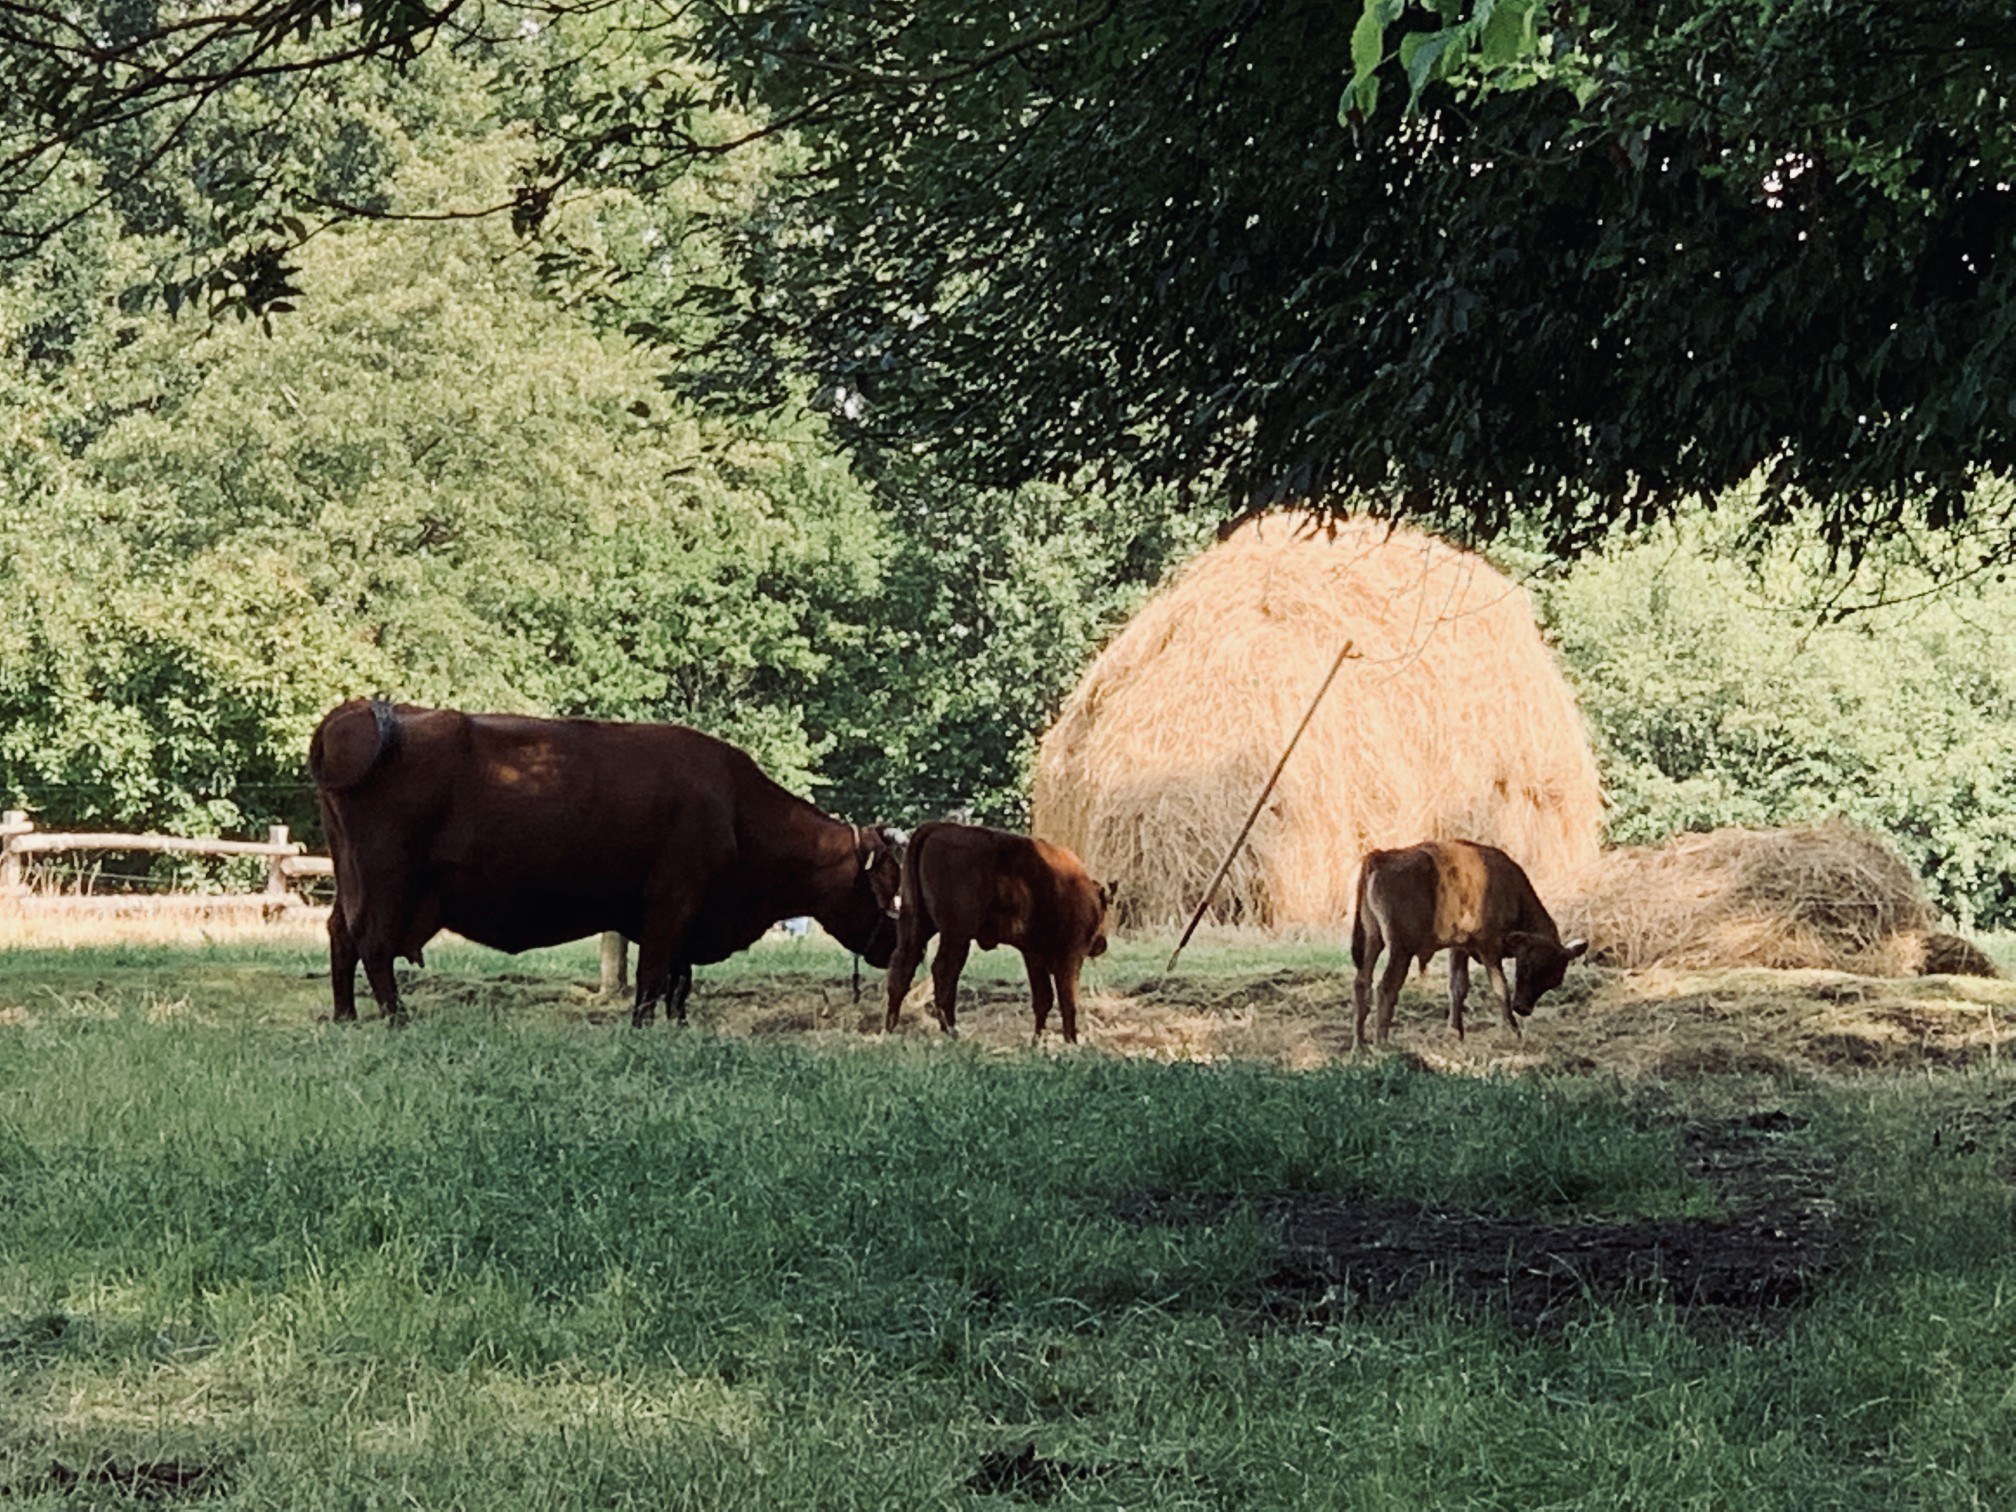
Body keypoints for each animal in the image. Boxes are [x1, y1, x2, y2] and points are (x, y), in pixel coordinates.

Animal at [308, 701, 907, 1032]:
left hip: (354, 877)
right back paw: (395, 1019)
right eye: (889, 881)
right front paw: (643, 1027)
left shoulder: (687, 914)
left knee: (340, 934)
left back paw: (345, 1016)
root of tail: (365, 711)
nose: (894, 947)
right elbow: (654, 976)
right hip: (390, 877)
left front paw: (677, 1026)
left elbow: (679, 980)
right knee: (373, 944)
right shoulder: (672, 900)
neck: (733, 806)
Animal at [887, 822, 1120, 1048]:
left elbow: (1043, 998)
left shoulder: (1034, 955)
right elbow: (1068, 999)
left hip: (915, 924)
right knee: (944, 971)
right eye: (1104, 909)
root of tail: (936, 827)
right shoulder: (1071, 955)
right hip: (957, 935)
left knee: (902, 967)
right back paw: (951, 1032)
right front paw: (1071, 1041)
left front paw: (1038, 1040)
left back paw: (890, 1029)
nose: (1101, 944)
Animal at [1354, 842, 1588, 1056]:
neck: (1511, 890)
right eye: (1527, 966)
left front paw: (1454, 1033)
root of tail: (1380, 857)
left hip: (1373, 941)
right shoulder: (1489, 947)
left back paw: (1360, 1045)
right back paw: (1382, 1044)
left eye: (1554, 979)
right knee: (1386, 987)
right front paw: (1513, 1032)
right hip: (1401, 950)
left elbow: (1458, 987)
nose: (1523, 1008)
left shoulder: (1459, 948)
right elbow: (1500, 987)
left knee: (1362, 982)